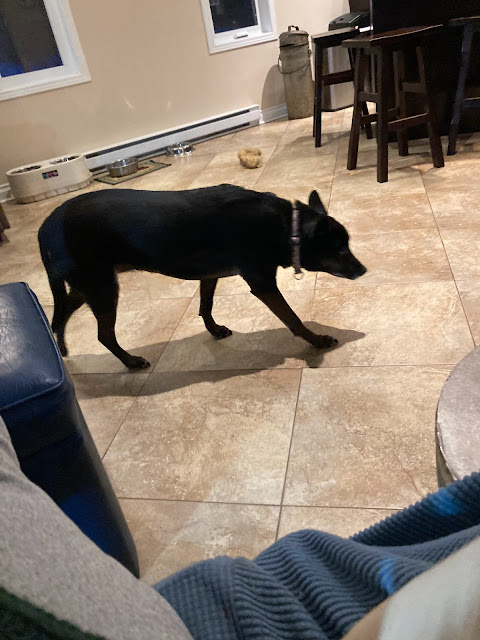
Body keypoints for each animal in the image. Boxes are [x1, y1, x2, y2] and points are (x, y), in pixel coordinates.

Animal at [38, 184, 366, 369]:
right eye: (340, 250)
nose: (363, 270)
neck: (287, 226)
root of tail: (47, 225)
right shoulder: (261, 282)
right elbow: (293, 319)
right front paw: (317, 340)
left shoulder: (211, 275)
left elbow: (205, 305)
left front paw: (214, 330)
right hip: (102, 288)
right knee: (103, 335)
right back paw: (130, 362)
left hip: (88, 285)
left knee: (60, 314)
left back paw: (61, 347)